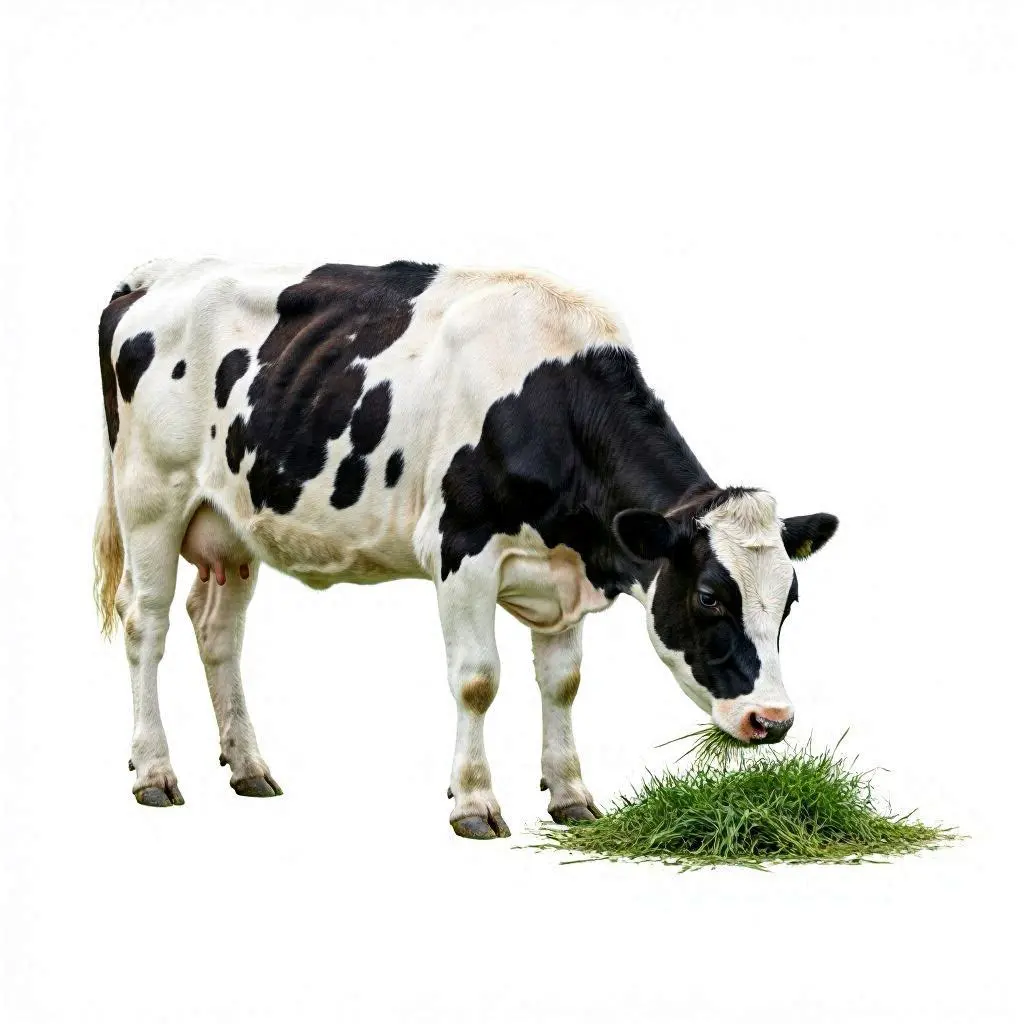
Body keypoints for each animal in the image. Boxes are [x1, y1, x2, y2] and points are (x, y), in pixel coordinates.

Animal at [94, 258, 838, 838]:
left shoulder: (565, 573)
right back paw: (153, 769)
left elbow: (564, 684)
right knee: (146, 625)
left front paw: (571, 796)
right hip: (151, 496)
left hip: (231, 522)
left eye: (790, 602)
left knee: (216, 631)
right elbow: (478, 680)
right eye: (709, 596)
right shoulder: (461, 551)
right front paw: (474, 802)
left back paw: (248, 767)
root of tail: (154, 277)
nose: (772, 720)